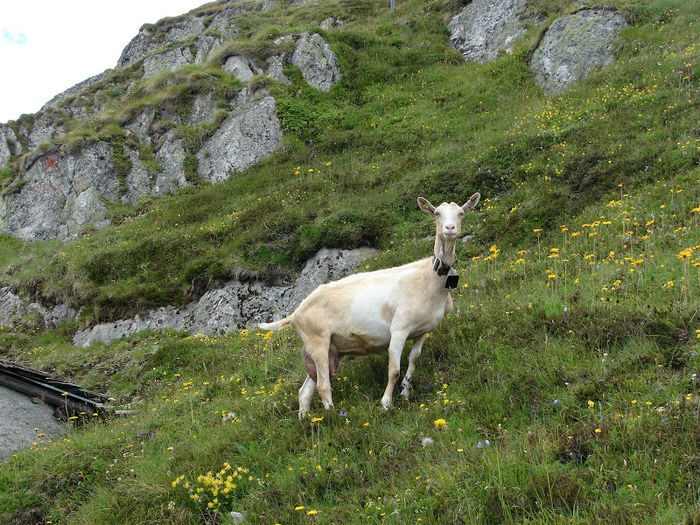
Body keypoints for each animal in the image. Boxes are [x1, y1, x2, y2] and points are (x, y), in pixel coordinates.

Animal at [259, 193, 480, 419]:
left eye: (461, 213)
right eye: (436, 213)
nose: (450, 229)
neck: (428, 279)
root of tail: (296, 313)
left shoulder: (422, 331)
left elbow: (413, 361)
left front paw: (405, 395)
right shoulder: (399, 329)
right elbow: (394, 370)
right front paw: (386, 403)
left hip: (325, 349)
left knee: (305, 391)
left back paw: (306, 420)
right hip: (317, 341)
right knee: (323, 385)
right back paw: (332, 415)